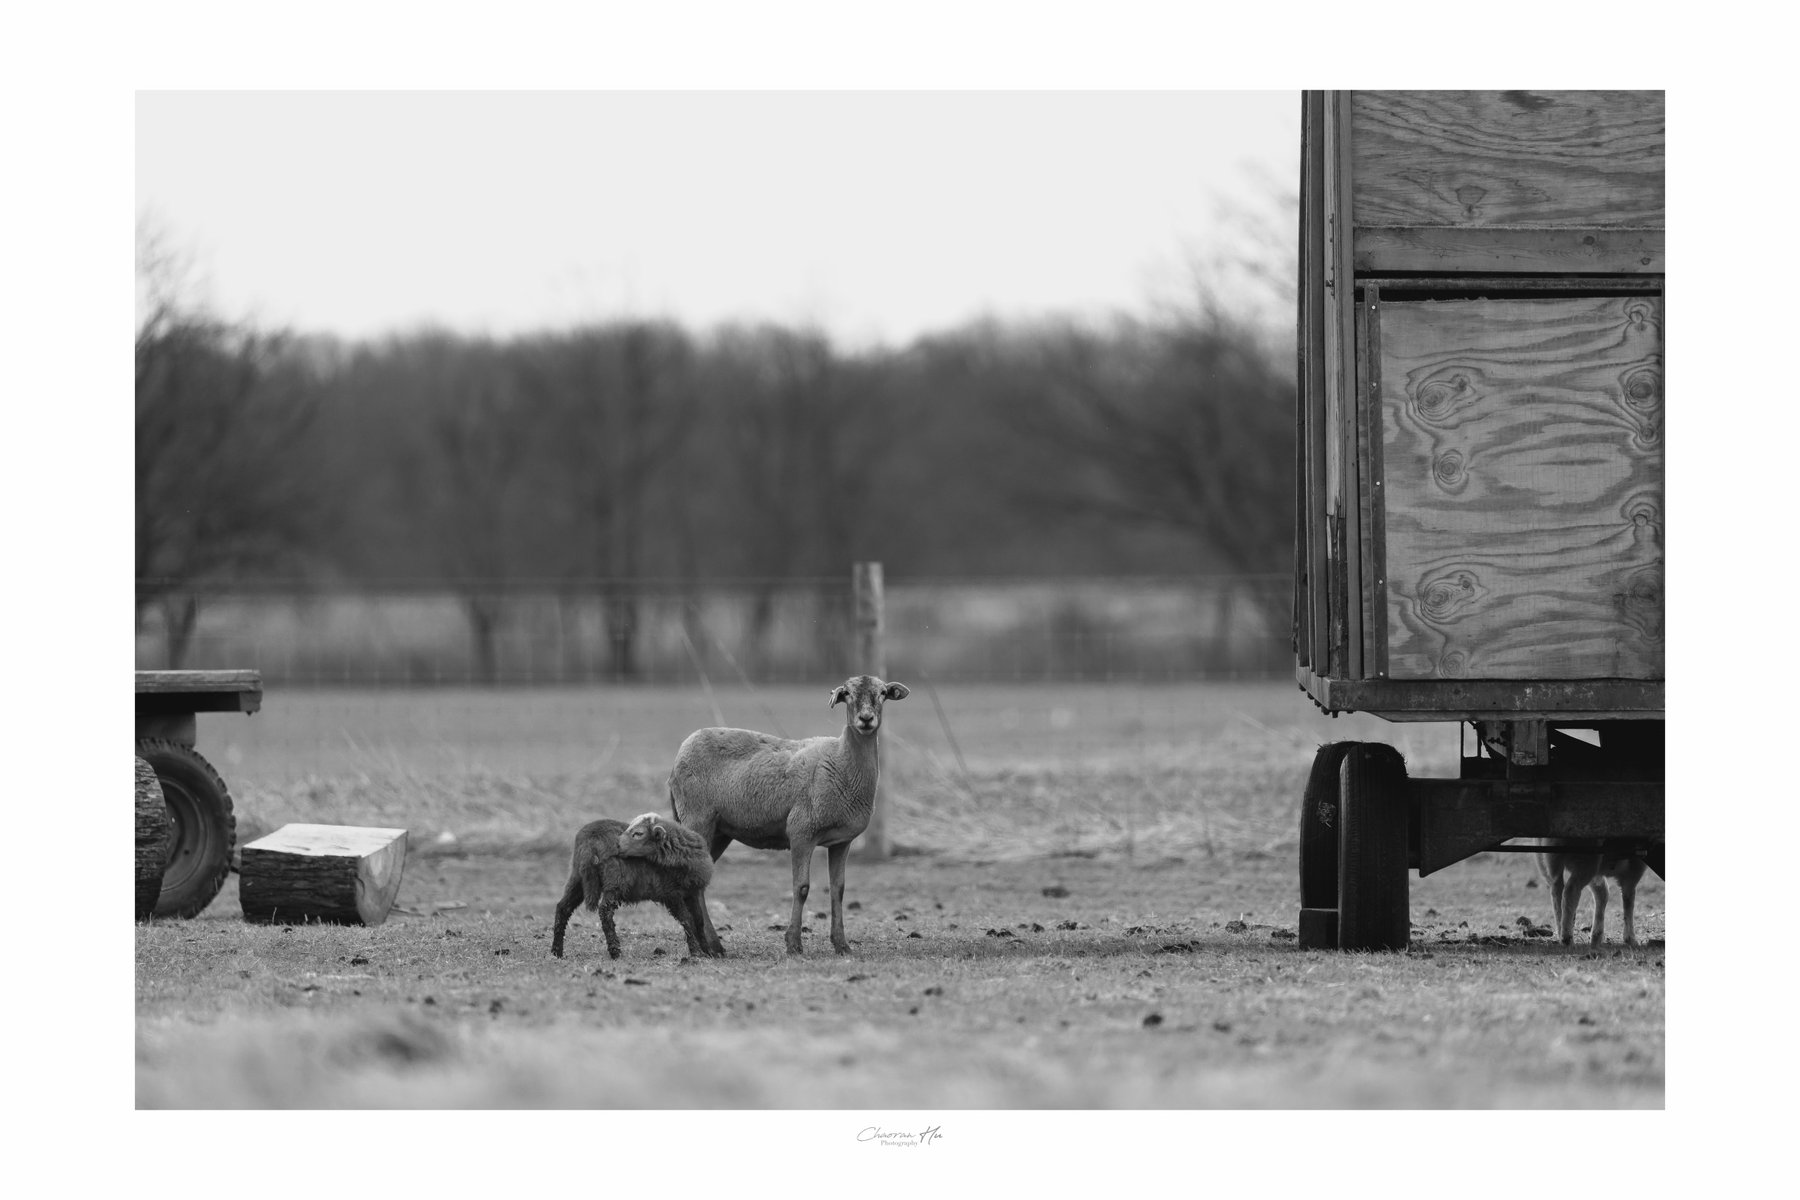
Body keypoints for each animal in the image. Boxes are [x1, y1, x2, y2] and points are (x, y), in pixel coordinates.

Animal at [550, 812, 717, 960]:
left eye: (638, 833)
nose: (617, 844)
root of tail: (589, 840)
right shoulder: (671, 893)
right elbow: (687, 919)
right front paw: (696, 952)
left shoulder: (692, 892)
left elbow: (699, 920)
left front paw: (707, 951)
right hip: (615, 880)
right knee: (605, 911)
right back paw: (615, 951)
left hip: (577, 877)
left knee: (563, 908)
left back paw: (556, 951)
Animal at [669, 674, 909, 956]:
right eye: (847, 694)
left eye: (882, 693)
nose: (866, 718)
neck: (841, 761)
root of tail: (680, 753)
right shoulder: (801, 830)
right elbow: (801, 888)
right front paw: (793, 943)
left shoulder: (841, 841)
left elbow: (838, 890)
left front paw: (842, 945)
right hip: (697, 819)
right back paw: (707, 946)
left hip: (719, 831)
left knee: (696, 882)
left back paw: (707, 946)